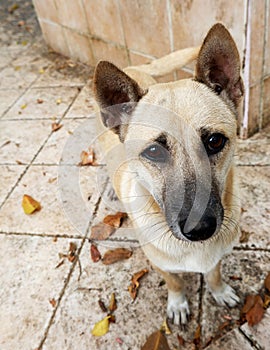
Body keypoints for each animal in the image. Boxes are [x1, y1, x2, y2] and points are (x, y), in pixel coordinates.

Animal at [93, 23, 245, 326]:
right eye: (153, 151)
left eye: (214, 141)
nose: (199, 229)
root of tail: (134, 66)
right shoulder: (160, 263)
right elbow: (175, 282)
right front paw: (177, 303)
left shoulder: (216, 258)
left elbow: (214, 273)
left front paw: (219, 291)